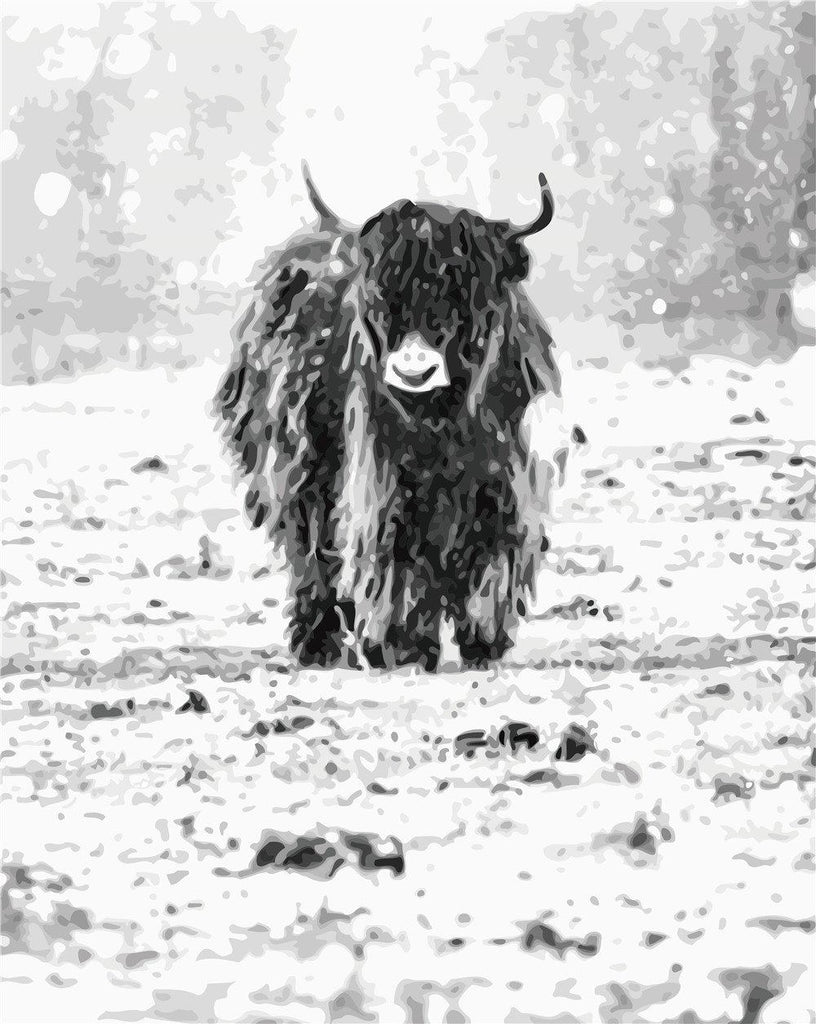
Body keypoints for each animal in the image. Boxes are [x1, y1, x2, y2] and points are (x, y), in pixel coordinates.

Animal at [212, 167, 565, 671]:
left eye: (467, 291)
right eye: (384, 296)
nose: (413, 370)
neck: (440, 422)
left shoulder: (504, 476)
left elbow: (494, 546)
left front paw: (484, 640)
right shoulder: (379, 477)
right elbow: (391, 552)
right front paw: (401, 645)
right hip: (294, 473)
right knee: (311, 552)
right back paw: (318, 645)